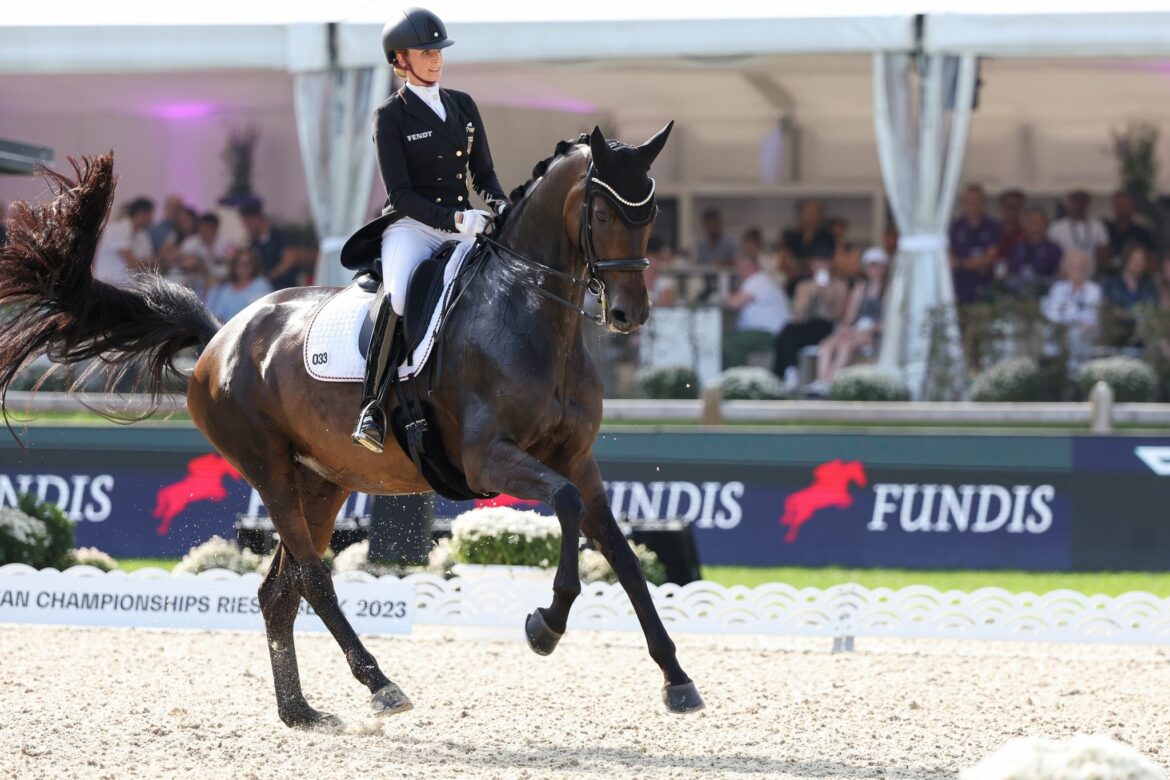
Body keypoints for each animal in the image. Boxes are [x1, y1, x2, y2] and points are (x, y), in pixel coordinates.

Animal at [0, 122, 702, 725]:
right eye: (604, 214)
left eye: (652, 215)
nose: (631, 316)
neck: (529, 314)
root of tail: (220, 337)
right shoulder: (489, 458)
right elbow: (565, 507)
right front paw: (544, 626)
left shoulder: (577, 459)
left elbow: (621, 552)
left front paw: (677, 680)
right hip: (269, 468)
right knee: (313, 578)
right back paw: (379, 683)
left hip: (323, 480)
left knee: (278, 592)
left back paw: (300, 712)